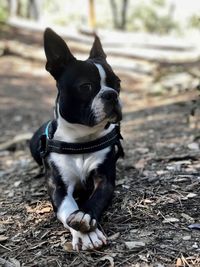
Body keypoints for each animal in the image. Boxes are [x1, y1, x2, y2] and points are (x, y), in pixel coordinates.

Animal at [29, 28, 123, 252]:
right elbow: (68, 206)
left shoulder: (104, 179)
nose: (112, 94)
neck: (81, 140)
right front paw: (85, 235)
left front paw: (85, 217)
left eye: (118, 84)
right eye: (86, 86)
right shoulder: (59, 187)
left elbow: (95, 199)